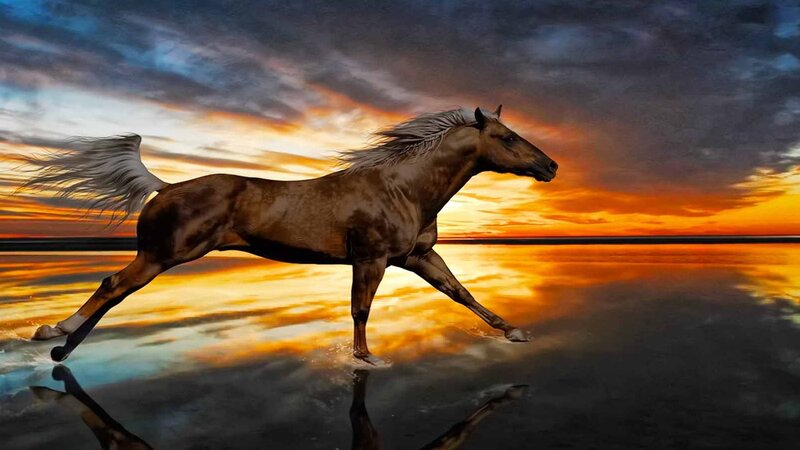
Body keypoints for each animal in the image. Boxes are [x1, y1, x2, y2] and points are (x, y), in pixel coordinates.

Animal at [26, 105, 558, 365]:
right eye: (507, 138)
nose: (550, 167)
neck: (402, 187)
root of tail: (166, 186)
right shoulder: (371, 259)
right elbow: (360, 309)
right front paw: (366, 359)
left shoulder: (418, 257)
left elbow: (461, 293)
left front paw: (515, 331)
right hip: (163, 255)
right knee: (111, 286)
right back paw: (54, 333)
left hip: (160, 257)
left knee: (114, 293)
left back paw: (62, 348)